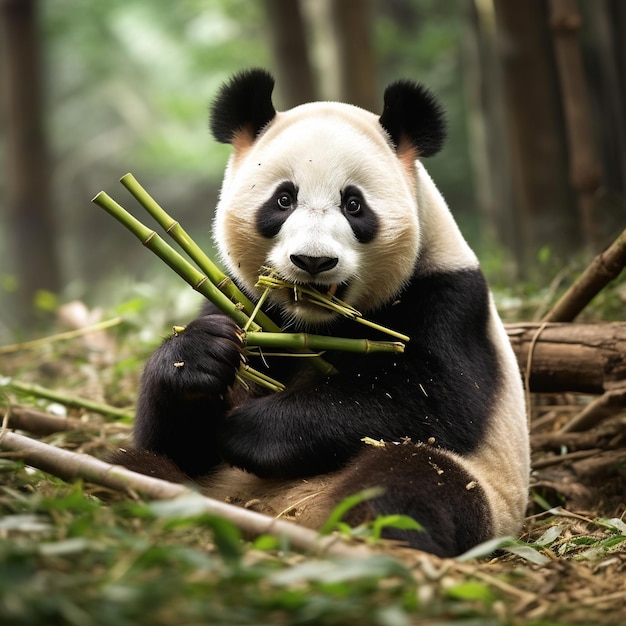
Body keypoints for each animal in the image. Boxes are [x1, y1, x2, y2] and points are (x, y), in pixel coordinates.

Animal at [114, 68, 528, 556]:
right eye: (283, 200)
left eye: (354, 204)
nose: (313, 261)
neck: (315, 324)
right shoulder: (237, 296)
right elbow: (175, 441)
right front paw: (199, 353)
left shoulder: (450, 297)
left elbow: (433, 397)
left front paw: (249, 431)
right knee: (133, 464)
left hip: (480, 489)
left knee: (414, 479)